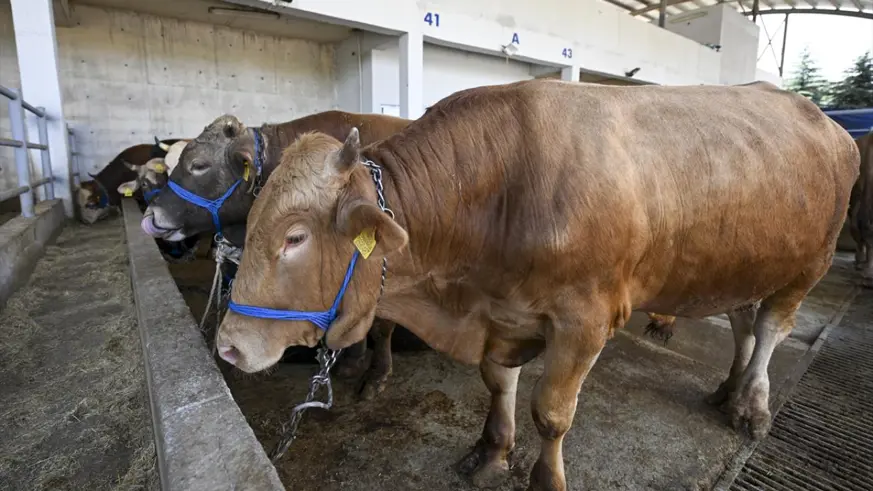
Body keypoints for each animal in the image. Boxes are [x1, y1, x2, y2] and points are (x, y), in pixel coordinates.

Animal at [215, 81, 856, 491]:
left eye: (295, 237)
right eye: (252, 219)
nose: (228, 345)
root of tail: (829, 123)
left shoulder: (584, 322)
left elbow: (550, 413)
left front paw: (546, 479)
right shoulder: (502, 313)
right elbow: (499, 384)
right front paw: (491, 450)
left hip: (808, 266)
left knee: (771, 329)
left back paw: (752, 405)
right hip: (747, 264)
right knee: (744, 324)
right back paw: (728, 390)